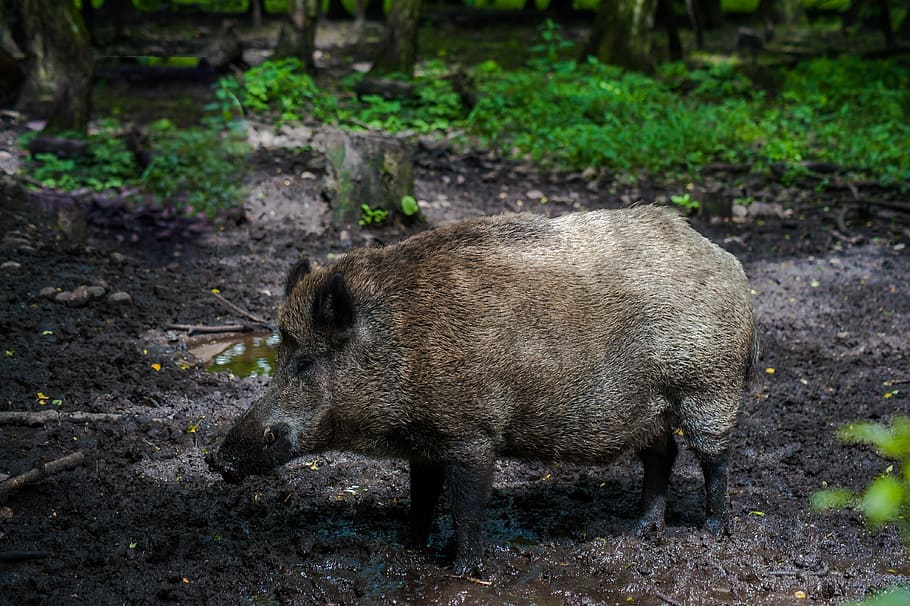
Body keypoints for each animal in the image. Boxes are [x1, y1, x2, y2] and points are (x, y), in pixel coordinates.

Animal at [207, 205, 759, 576]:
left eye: (304, 362)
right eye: (279, 355)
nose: (215, 459)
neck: (402, 344)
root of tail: (731, 266)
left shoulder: (471, 432)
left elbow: (467, 506)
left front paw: (460, 570)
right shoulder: (424, 441)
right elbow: (422, 496)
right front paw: (409, 548)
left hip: (709, 385)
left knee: (715, 457)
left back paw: (712, 532)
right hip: (650, 408)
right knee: (662, 455)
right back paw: (640, 531)